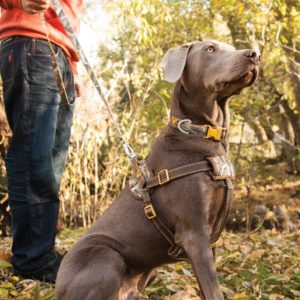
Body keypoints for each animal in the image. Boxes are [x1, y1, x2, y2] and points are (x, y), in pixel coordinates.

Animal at [55, 39, 260, 300]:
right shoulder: (194, 234)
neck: (203, 135)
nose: (255, 54)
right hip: (107, 257)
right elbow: (213, 290)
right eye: (210, 49)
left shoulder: (209, 239)